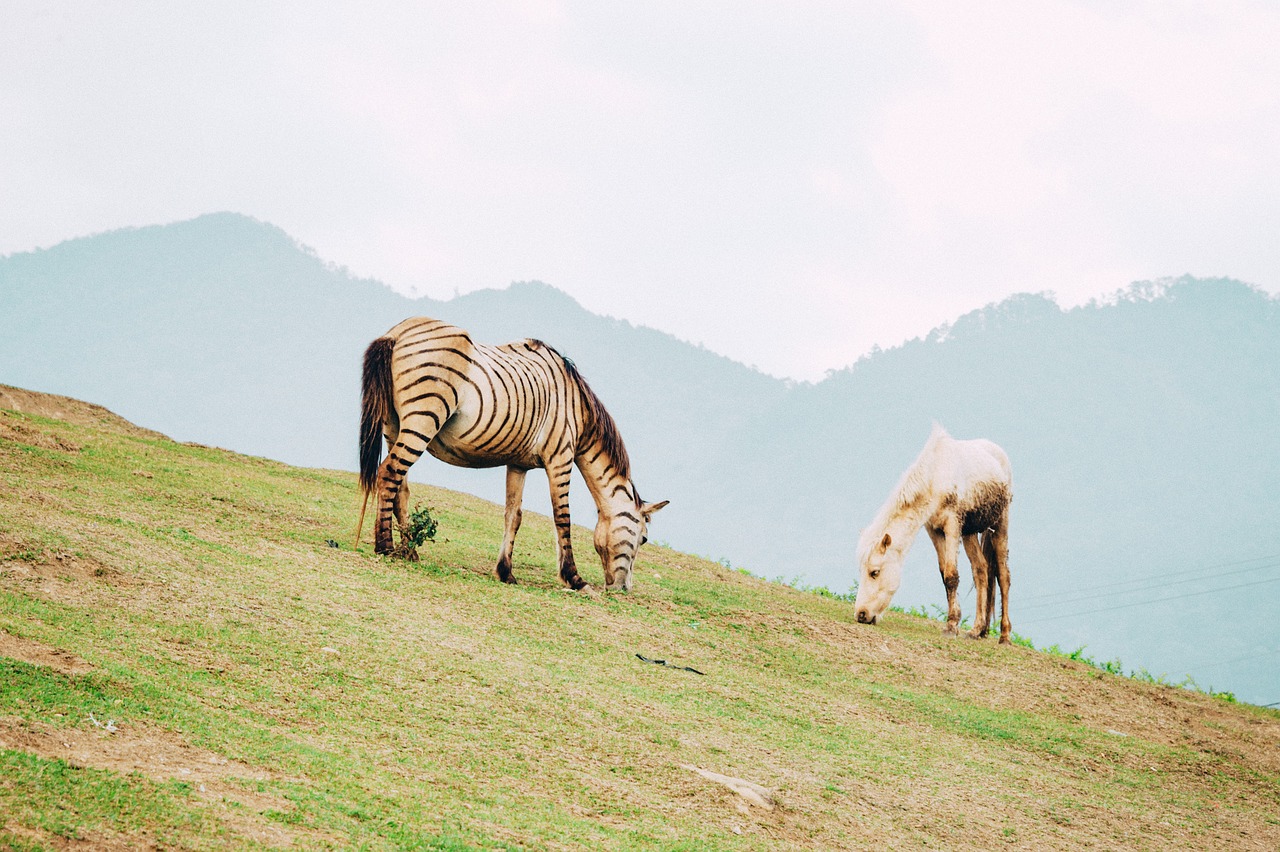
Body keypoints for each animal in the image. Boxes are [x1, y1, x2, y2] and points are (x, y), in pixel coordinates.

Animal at [355, 314, 665, 588]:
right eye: (644, 539)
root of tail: (398, 332)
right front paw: (574, 579)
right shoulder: (561, 458)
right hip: (424, 417)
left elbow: (513, 516)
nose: (623, 590)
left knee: (400, 488)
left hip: (393, 425)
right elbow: (562, 518)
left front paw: (505, 572)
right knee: (390, 473)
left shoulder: (519, 464)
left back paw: (409, 550)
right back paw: (385, 546)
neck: (577, 407)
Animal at [855, 427, 1013, 639]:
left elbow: (951, 575)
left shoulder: (952, 525)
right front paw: (953, 621)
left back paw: (1004, 636)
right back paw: (977, 630)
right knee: (981, 570)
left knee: (1003, 577)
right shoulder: (934, 530)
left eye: (874, 572)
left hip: (1000, 524)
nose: (861, 614)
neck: (935, 477)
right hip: (969, 532)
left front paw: (951, 626)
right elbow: (944, 574)